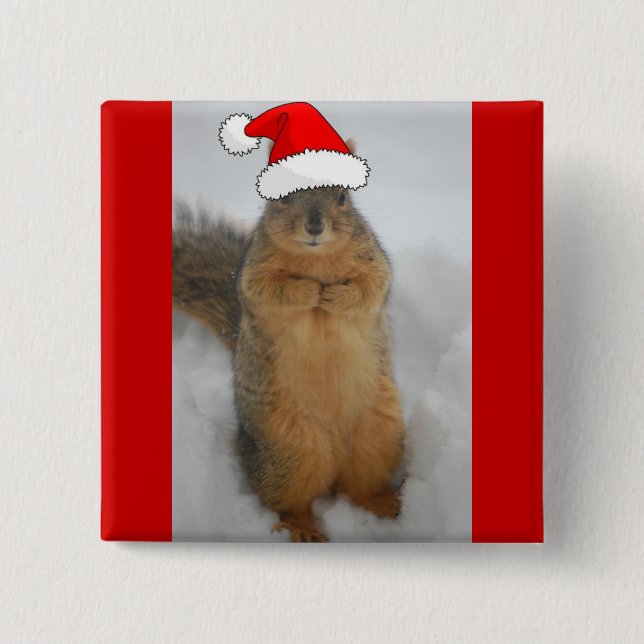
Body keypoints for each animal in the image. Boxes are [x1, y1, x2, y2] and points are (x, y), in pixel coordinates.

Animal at [172, 186, 405, 542]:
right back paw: (302, 527)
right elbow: (269, 291)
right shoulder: (255, 272)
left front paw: (334, 296)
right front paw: (309, 291)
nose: (315, 226)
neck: (316, 258)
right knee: (288, 501)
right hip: (288, 451)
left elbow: (371, 287)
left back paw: (386, 503)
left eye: (342, 197)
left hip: (379, 436)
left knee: (359, 488)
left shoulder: (373, 260)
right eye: (281, 198)